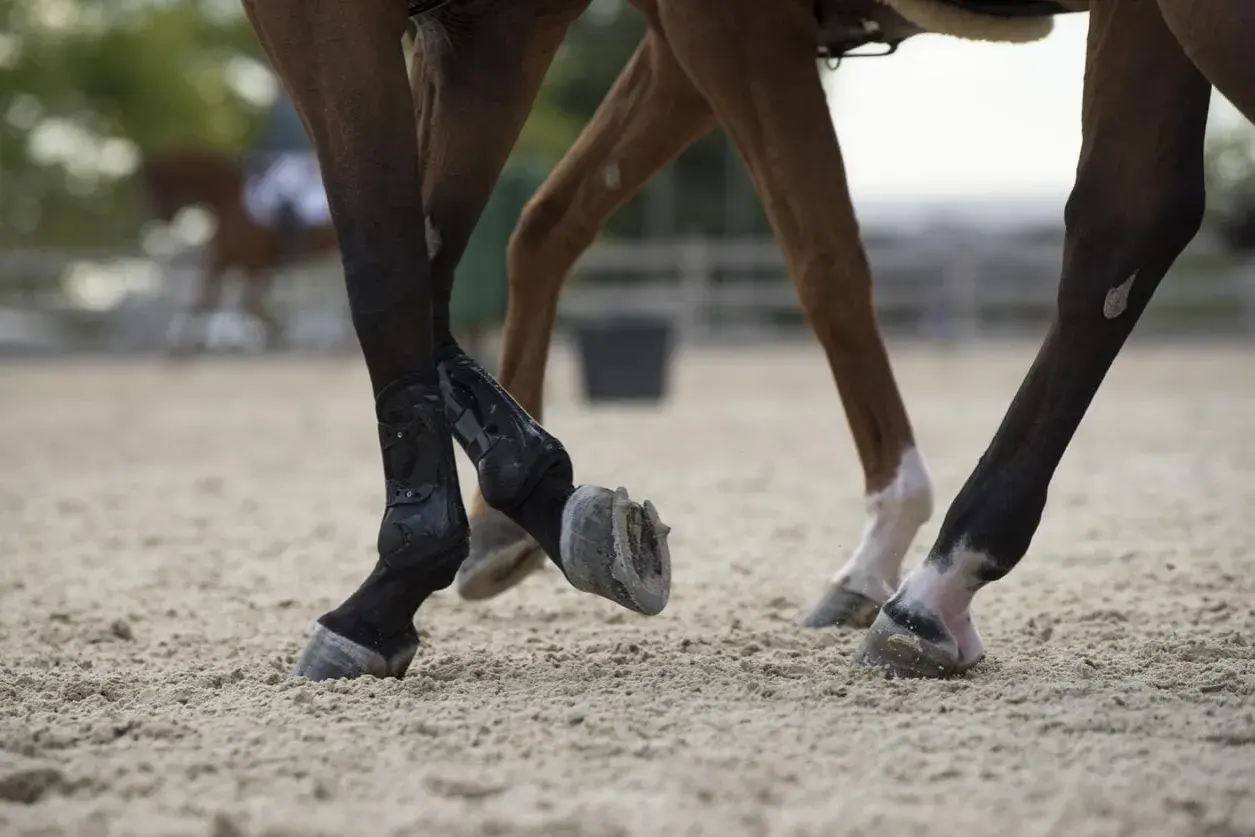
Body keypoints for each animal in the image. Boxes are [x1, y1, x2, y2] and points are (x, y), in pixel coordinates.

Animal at [137, 147, 339, 354]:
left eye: (159, 183)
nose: (163, 216)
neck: (228, 198)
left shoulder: (254, 263)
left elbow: (244, 303)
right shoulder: (229, 261)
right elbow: (205, 298)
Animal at [238, 0, 1249, 682]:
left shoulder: (721, 26)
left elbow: (390, 271)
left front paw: (391, 588)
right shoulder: (554, 32)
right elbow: (499, 240)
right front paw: (520, 510)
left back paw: (929, 585)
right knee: (1125, 224)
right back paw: (940, 586)